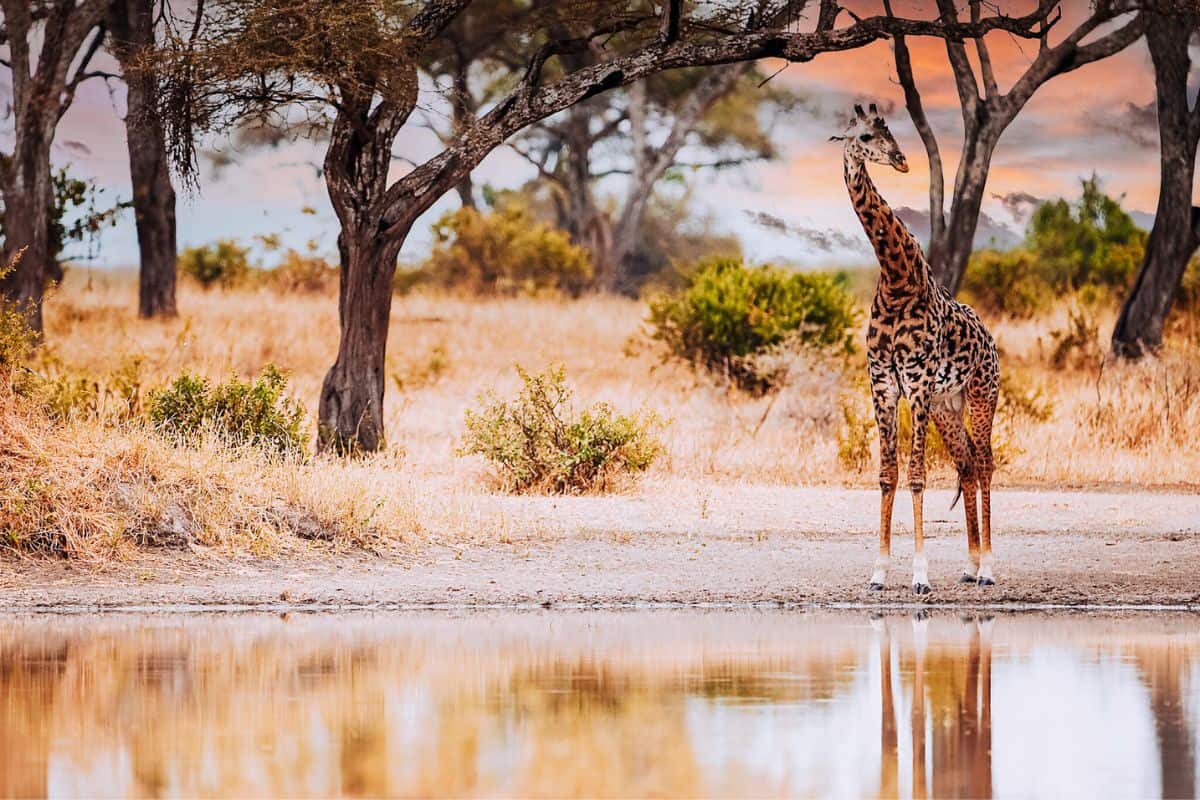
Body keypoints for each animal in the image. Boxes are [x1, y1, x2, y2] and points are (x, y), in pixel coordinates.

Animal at [835, 103, 1001, 594]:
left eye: (891, 132)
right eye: (865, 136)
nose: (902, 160)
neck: (895, 280)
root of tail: (991, 340)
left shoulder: (918, 384)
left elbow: (917, 476)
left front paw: (921, 575)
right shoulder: (883, 386)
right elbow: (887, 475)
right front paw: (878, 572)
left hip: (982, 395)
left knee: (986, 463)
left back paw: (988, 569)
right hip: (949, 405)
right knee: (967, 464)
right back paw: (969, 565)